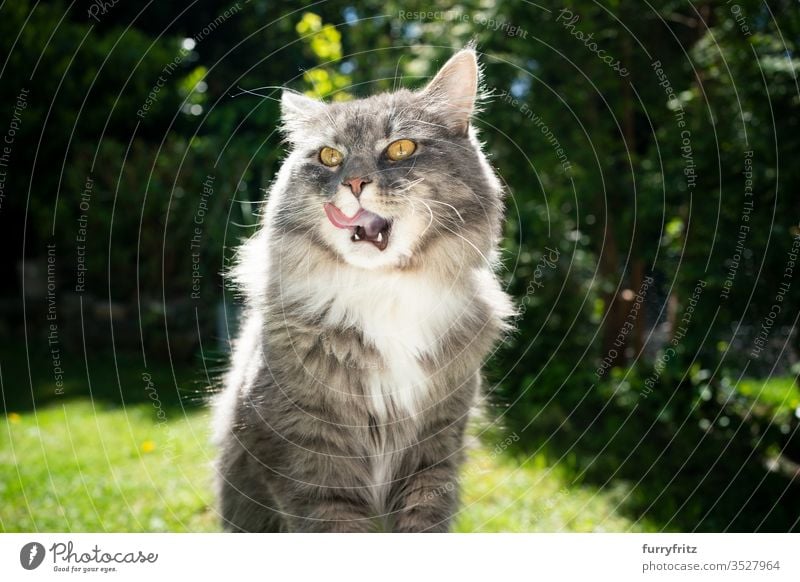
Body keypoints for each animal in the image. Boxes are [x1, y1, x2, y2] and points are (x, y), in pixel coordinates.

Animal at [214, 50, 512, 532]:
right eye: (330, 156)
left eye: (400, 149)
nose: (353, 184)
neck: (384, 291)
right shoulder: (311, 456)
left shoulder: (435, 447)